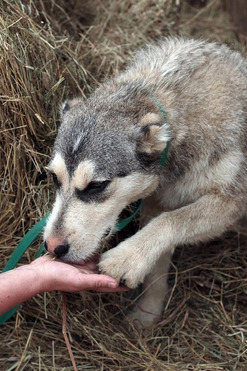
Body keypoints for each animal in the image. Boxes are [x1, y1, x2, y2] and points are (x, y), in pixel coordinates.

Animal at [43, 37, 247, 328]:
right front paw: (147, 314)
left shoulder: (231, 202)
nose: (52, 247)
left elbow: (171, 222)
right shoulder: (155, 203)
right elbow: (156, 267)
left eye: (96, 186)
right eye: (53, 177)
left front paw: (127, 258)